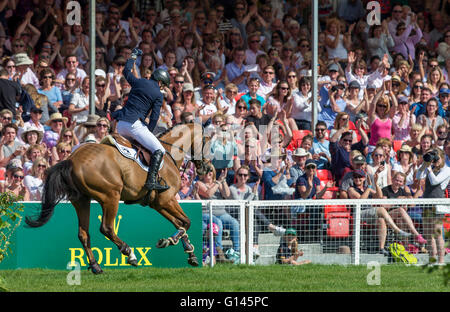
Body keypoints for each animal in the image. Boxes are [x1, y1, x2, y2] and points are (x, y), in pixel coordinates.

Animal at [25, 122, 206, 272]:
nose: (206, 168)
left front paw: (190, 253)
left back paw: (96, 266)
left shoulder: (158, 203)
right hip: (111, 196)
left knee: (83, 233)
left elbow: (180, 223)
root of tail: (71, 160)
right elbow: (186, 222)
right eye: (206, 142)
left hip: (81, 201)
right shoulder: (166, 199)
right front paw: (168, 241)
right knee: (106, 228)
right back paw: (130, 254)